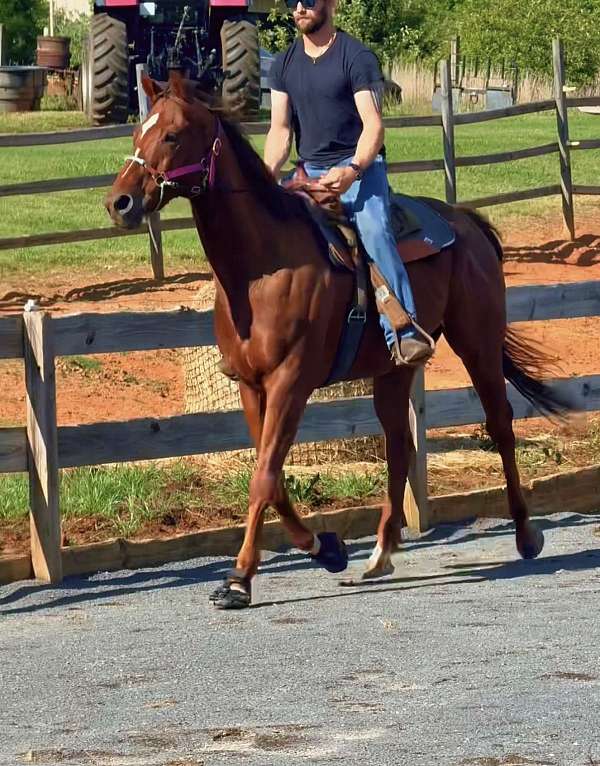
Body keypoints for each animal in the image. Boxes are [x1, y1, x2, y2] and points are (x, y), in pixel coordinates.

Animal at [106, 70, 568, 609]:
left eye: (173, 135)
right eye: (136, 133)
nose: (119, 202)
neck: (263, 267)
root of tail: (465, 223)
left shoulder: (291, 382)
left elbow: (264, 476)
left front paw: (239, 578)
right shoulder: (251, 385)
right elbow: (271, 476)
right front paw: (325, 548)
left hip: (477, 341)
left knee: (500, 426)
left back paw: (526, 534)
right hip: (393, 372)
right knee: (399, 446)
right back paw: (381, 553)